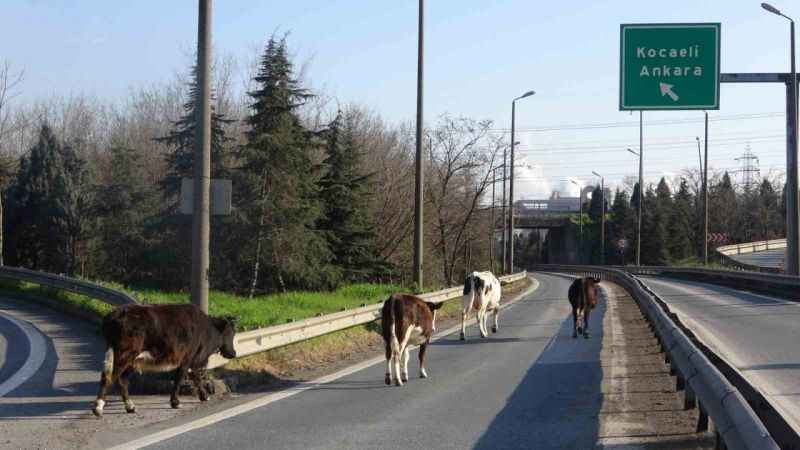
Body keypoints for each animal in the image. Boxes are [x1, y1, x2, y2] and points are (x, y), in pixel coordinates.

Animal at [93, 304, 236, 416]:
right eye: (229, 333)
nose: (233, 353)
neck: (206, 330)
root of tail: (116, 314)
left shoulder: (191, 360)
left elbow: (195, 377)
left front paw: (203, 396)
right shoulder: (187, 358)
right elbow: (182, 378)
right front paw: (176, 402)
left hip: (129, 359)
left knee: (120, 380)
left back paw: (130, 407)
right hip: (124, 354)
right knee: (110, 377)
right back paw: (98, 408)